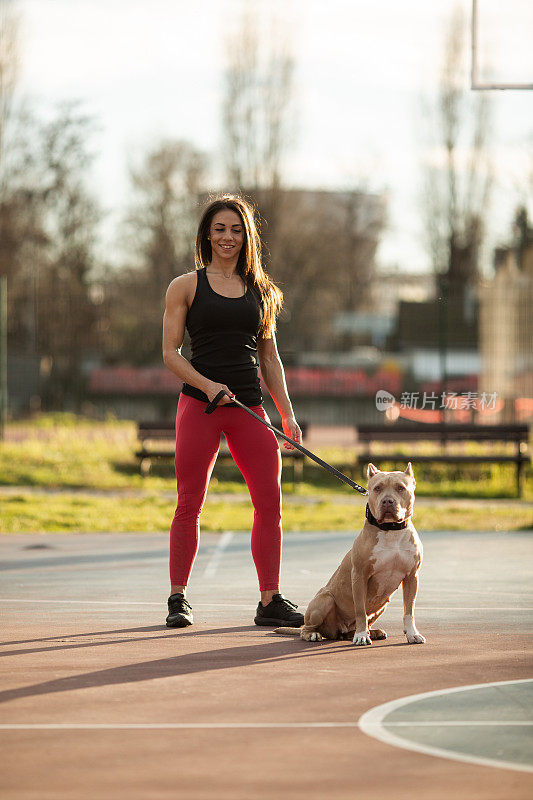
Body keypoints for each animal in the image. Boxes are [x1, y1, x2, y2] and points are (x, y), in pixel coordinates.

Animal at [274, 462, 424, 644]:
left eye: (400, 488)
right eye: (377, 488)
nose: (387, 501)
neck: (390, 531)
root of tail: (337, 631)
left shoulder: (411, 577)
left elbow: (409, 610)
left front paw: (412, 633)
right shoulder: (359, 576)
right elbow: (360, 610)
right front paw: (361, 636)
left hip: (382, 606)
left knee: (354, 627)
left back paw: (371, 632)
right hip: (325, 599)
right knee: (307, 627)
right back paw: (314, 634)